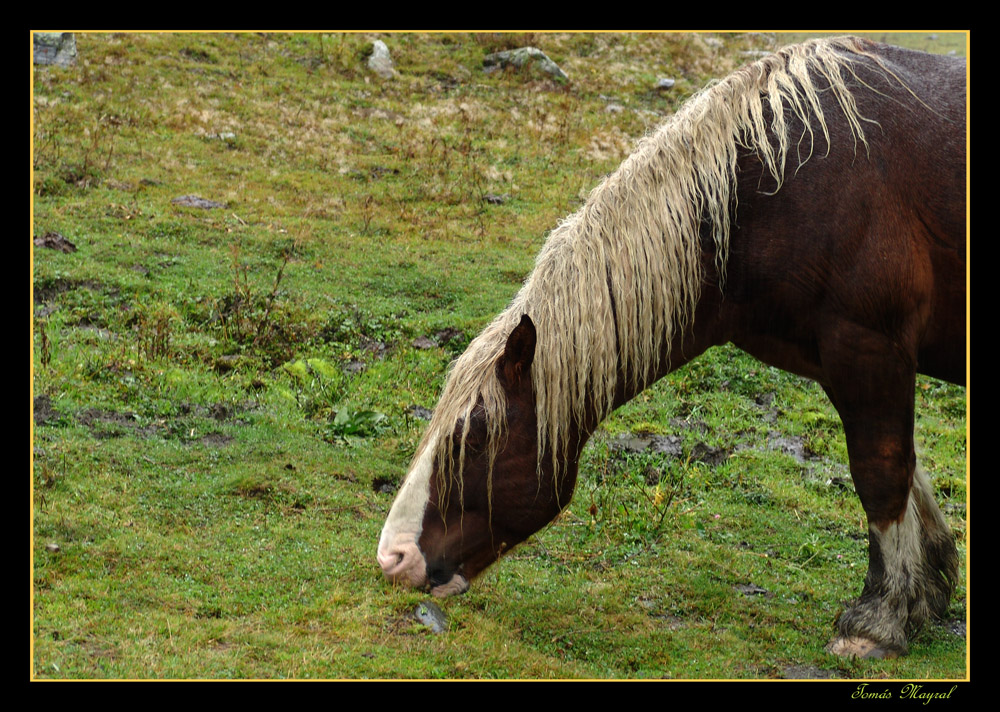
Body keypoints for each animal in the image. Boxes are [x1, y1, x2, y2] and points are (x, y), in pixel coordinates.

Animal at [376, 37, 968, 660]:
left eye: (476, 435)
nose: (394, 557)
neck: (784, 184)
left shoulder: (869, 348)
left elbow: (881, 476)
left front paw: (877, 621)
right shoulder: (848, 364)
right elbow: (909, 473)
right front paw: (926, 595)